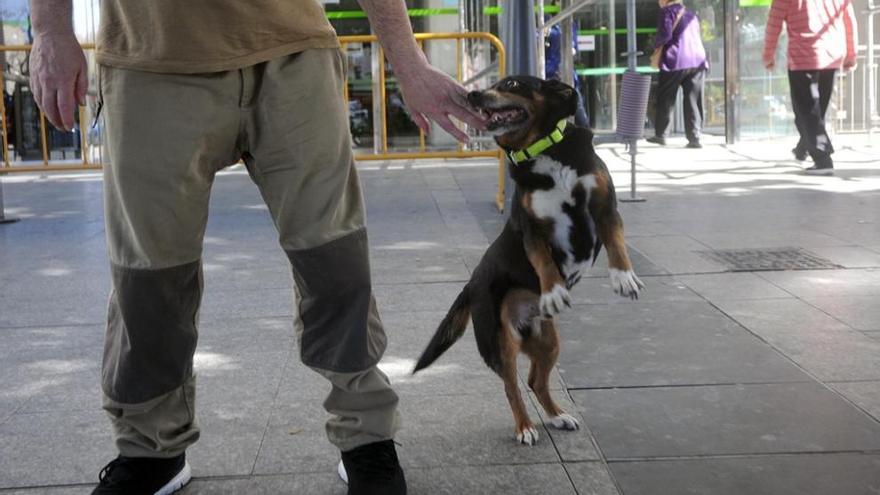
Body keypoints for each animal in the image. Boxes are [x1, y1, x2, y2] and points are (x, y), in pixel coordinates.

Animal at [412, 76, 640, 446]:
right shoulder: (532, 230)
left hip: (549, 342)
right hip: (498, 342)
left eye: (514, 83)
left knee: (535, 381)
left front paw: (624, 277)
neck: (543, 150)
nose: (473, 94)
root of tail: (470, 285)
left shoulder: (605, 208)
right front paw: (554, 292)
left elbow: (617, 245)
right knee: (512, 387)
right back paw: (525, 427)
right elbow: (545, 264)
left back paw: (558, 416)